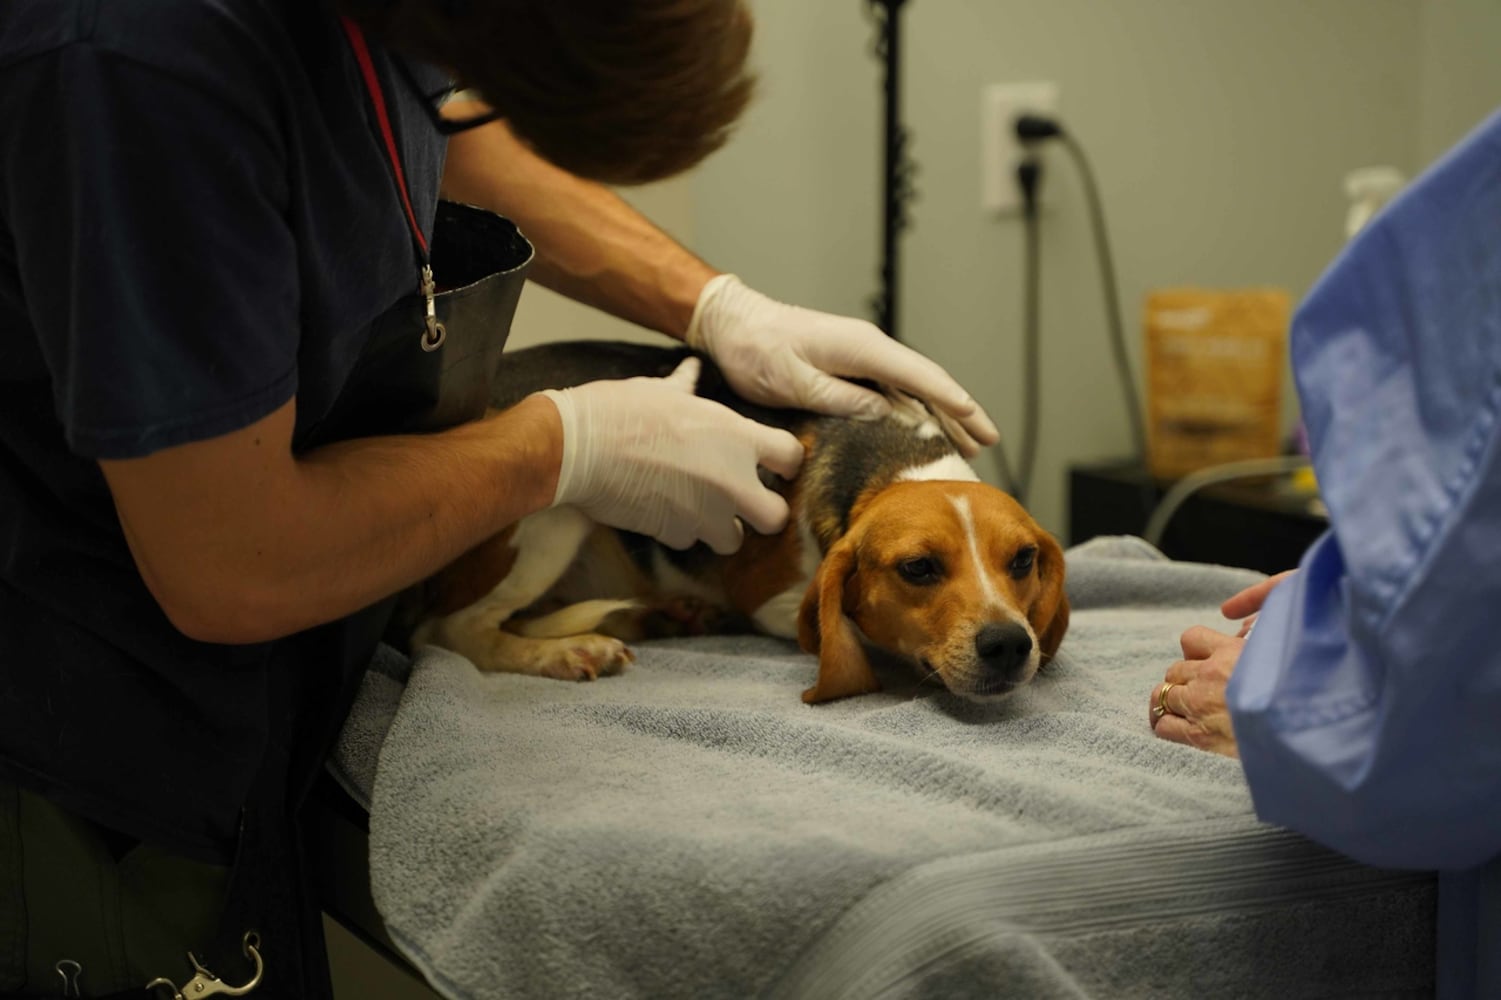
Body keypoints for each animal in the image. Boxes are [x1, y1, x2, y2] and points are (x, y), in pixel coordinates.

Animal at [411, 339, 1068, 696]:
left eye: (1023, 561)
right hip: (552, 515)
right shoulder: (768, 597)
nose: (1011, 645)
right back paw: (566, 651)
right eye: (918, 568)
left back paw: (669, 615)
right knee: (453, 631)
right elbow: (841, 623)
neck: (893, 457)